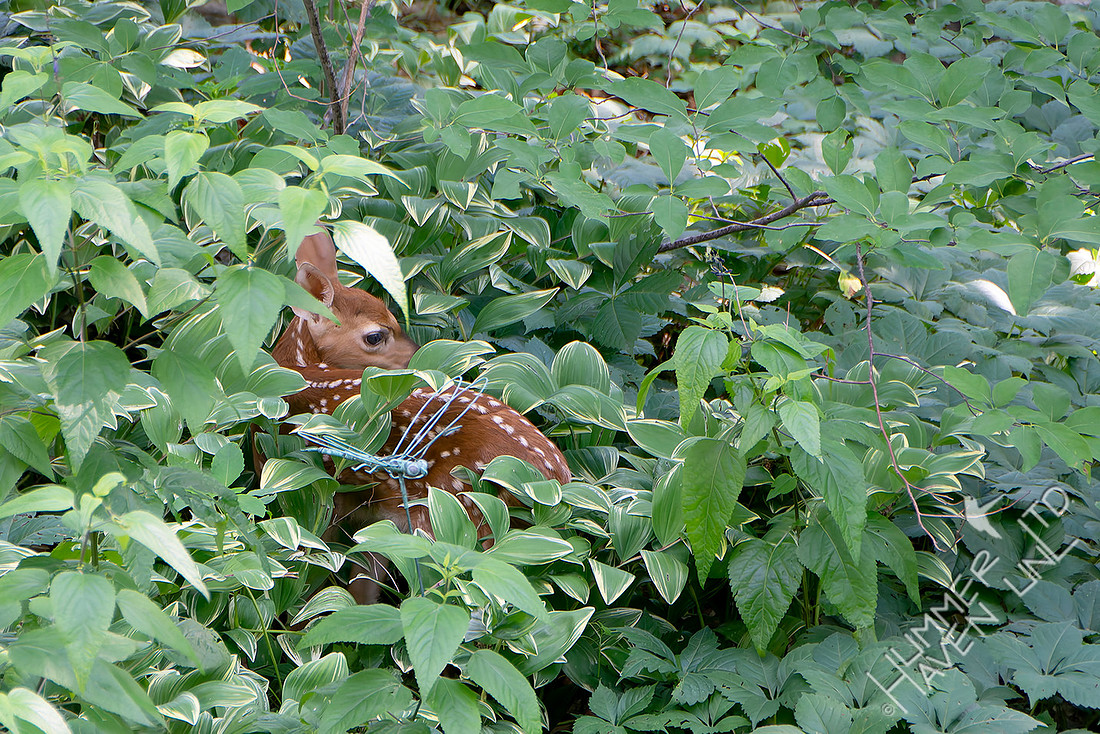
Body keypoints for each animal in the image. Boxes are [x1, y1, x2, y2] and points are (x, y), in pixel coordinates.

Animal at [266, 228, 571, 602]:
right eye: (375, 335)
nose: (420, 359)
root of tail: (554, 481)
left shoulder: (324, 493)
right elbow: (362, 585)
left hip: (451, 519)